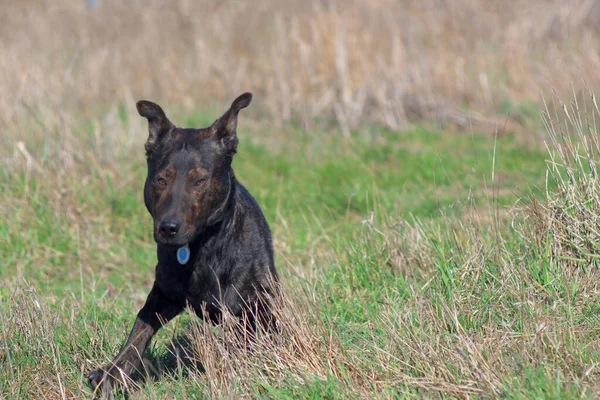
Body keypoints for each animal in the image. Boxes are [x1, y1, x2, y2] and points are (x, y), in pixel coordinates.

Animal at [85, 93, 278, 394]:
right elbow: (139, 330)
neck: (201, 246)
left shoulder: (250, 306)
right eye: (161, 180)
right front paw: (112, 373)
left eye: (199, 181)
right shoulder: (163, 294)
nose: (168, 227)